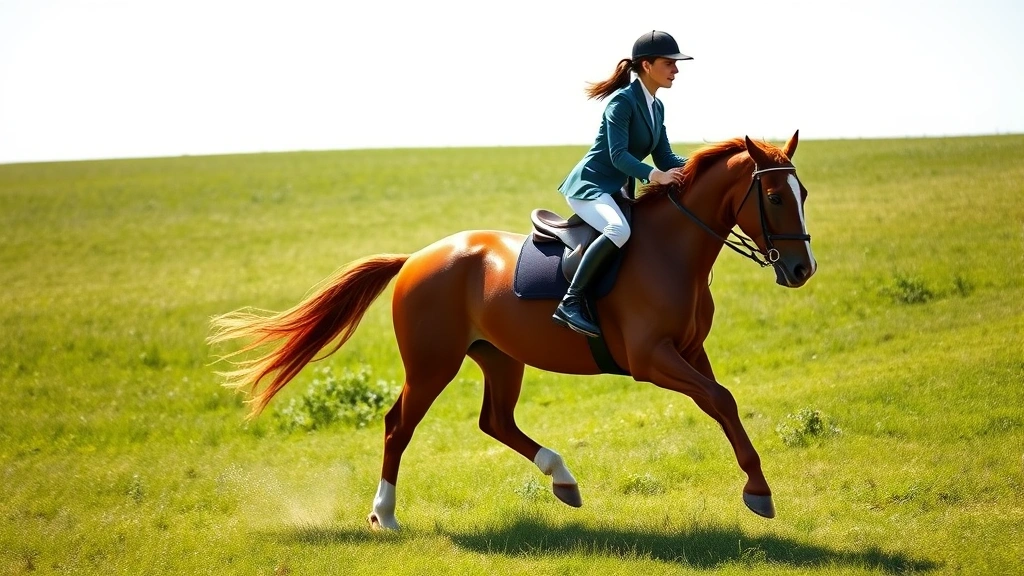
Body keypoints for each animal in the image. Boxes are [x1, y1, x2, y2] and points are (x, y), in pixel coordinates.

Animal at [208, 132, 816, 530]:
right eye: (774, 197)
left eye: (804, 194)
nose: (801, 269)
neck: (671, 251)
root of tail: (415, 258)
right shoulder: (650, 359)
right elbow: (718, 398)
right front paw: (758, 491)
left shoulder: (690, 350)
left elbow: (723, 401)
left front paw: (758, 488)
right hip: (432, 364)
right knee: (398, 426)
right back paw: (385, 515)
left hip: (500, 357)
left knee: (495, 421)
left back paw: (562, 478)